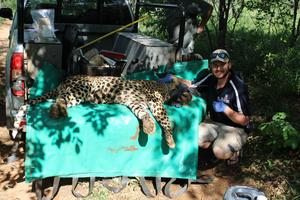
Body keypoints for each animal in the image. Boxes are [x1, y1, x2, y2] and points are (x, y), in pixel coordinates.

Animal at [28, 75, 192, 148]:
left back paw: (57, 112)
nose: (185, 102)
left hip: (76, 95)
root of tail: (62, 82)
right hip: (81, 89)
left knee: (58, 100)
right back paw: (56, 112)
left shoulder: (136, 102)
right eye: (185, 95)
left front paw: (148, 126)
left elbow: (144, 114)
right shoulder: (155, 101)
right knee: (59, 100)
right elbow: (166, 121)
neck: (165, 88)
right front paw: (171, 140)